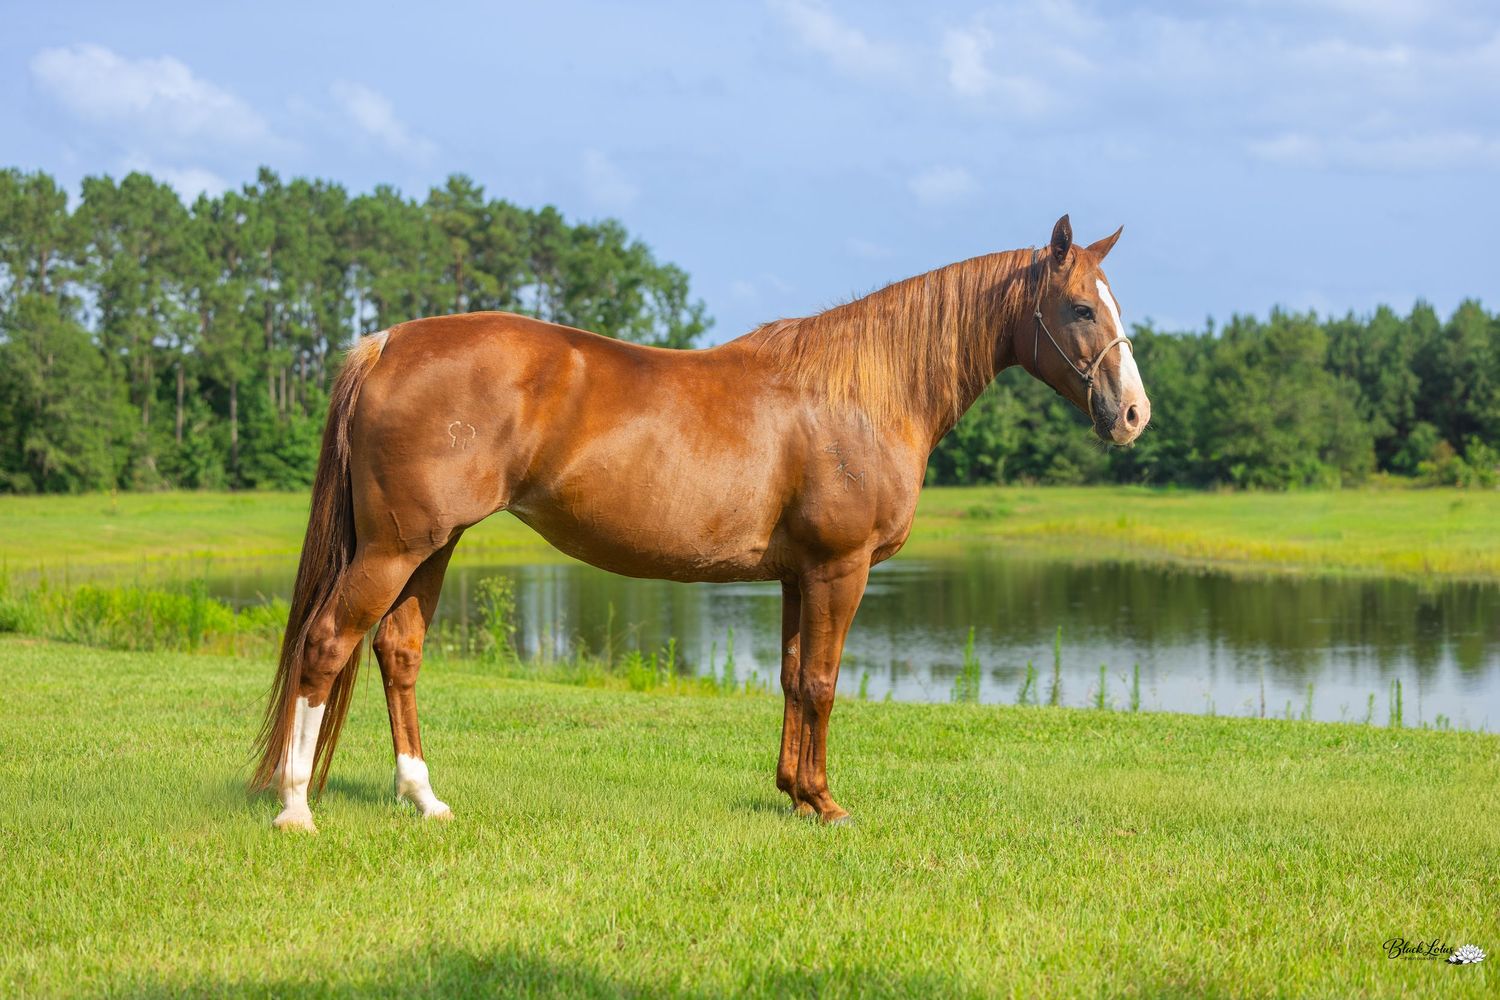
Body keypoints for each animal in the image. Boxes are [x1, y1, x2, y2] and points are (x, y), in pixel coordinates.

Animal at [252, 214, 1150, 831]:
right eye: (1079, 308)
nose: (1134, 414)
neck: (860, 395)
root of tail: (388, 342)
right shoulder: (839, 568)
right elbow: (823, 682)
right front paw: (826, 803)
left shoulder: (795, 575)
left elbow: (791, 678)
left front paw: (793, 794)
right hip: (394, 548)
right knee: (326, 643)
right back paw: (295, 808)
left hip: (432, 546)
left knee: (397, 651)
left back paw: (425, 798)